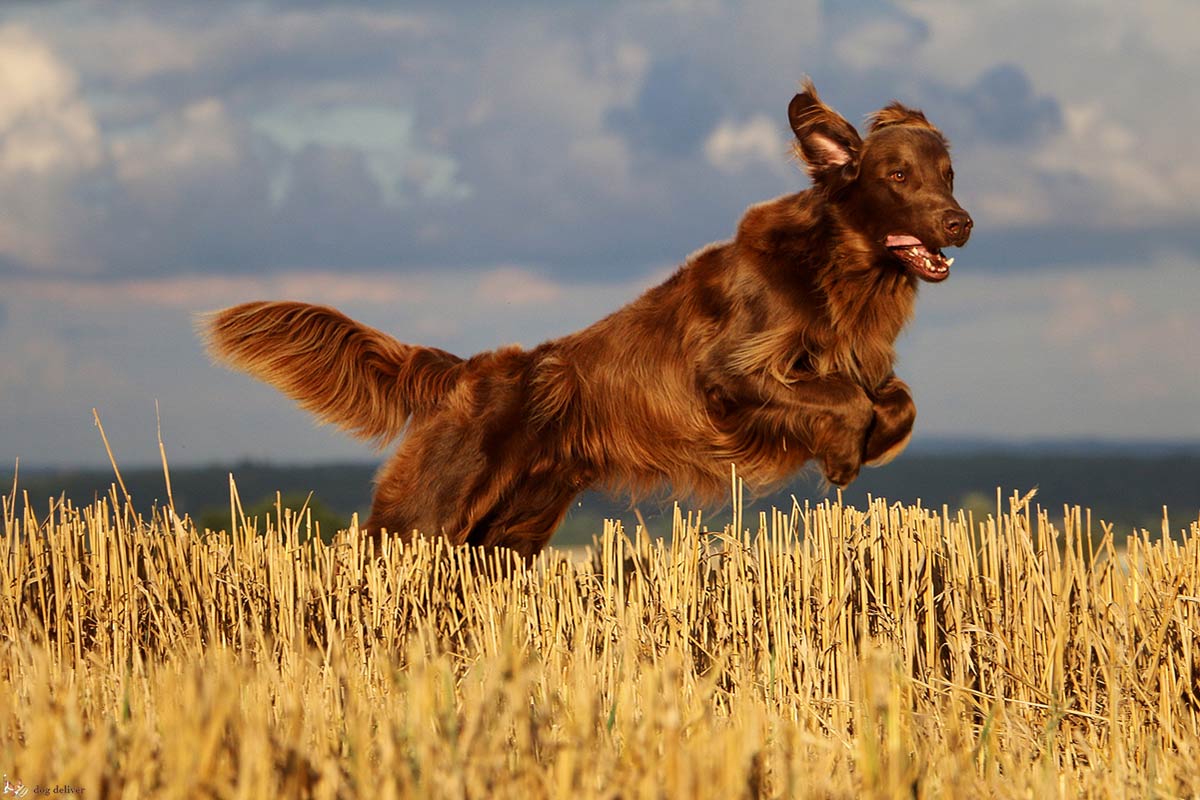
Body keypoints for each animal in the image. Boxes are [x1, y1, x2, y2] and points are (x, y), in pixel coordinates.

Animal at [204, 79, 974, 556]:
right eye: (897, 176)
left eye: (948, 175)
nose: (961, 223)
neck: (840, 273)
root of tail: (469, 373)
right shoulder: (727, 375)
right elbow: (843, 395)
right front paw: (844, 454)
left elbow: (896, 400)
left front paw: (874, 441)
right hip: (429, 513)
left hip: (509, 529)